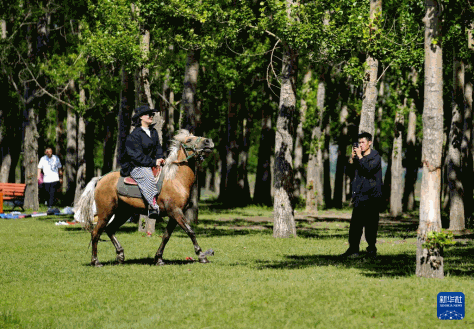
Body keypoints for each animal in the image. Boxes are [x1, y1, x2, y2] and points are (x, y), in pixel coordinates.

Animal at [75, 129, 215, 266]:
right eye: (189, 140)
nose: (209, 141)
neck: (175, 179)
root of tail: (100, 179)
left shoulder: (174, 215)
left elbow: (166, 236)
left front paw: (158, 258)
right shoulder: (176, 212)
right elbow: (190, 231)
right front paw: (202, 256)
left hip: (123, 213)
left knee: (110, 229)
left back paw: (120, 255)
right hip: (105, 213)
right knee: (96, 233)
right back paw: (96, 261)